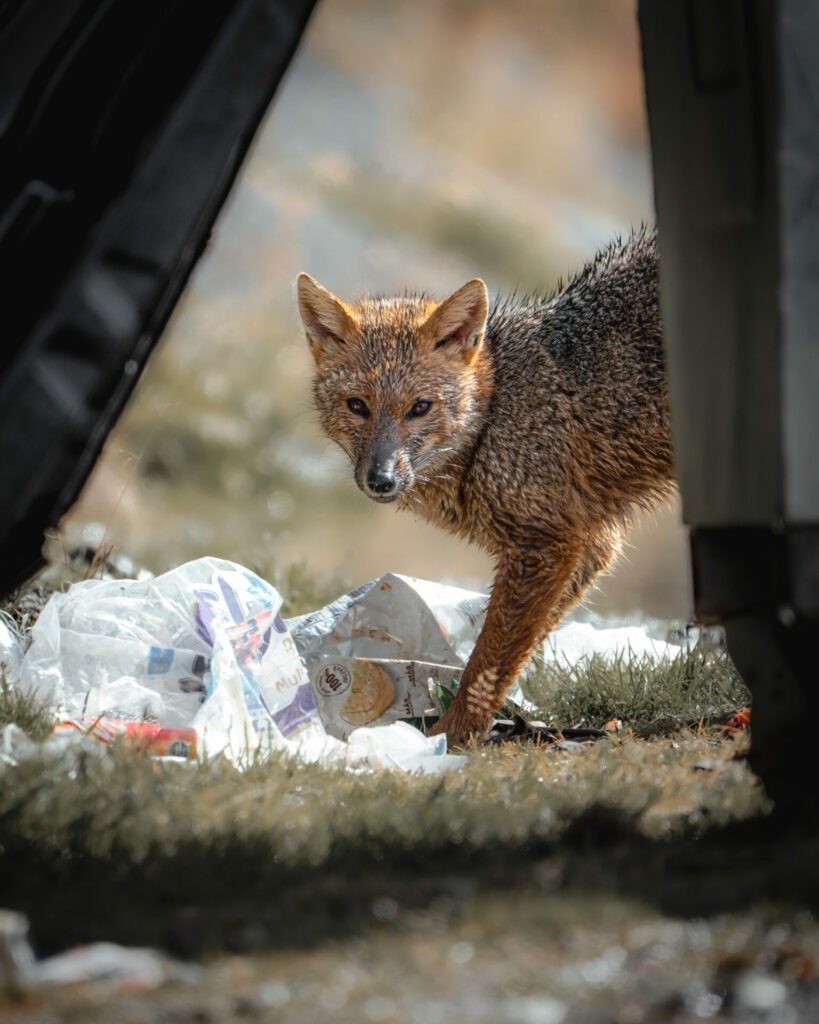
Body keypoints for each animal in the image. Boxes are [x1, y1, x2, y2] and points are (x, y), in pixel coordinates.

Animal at [296, 230, 675, 745]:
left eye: (420, 407)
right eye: (358, 406)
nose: (382, 479)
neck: (494, 415)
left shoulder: (548, 546)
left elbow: (489, 661)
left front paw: (450, 735)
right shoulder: (590, 543)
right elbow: (513, 648)